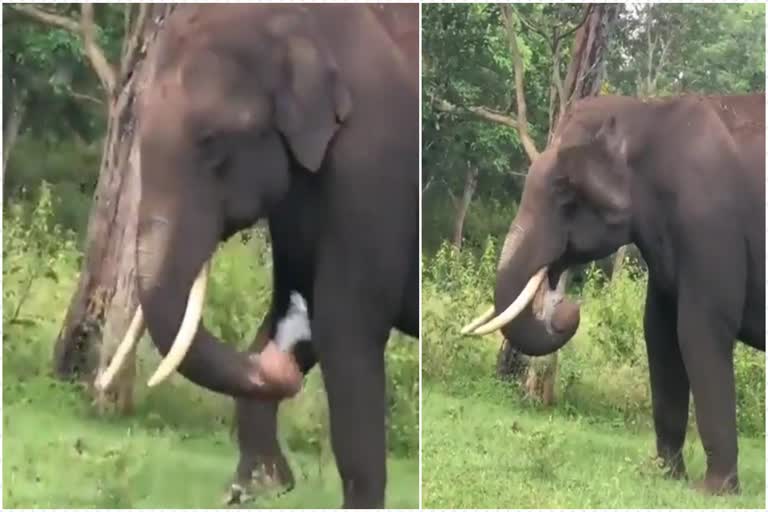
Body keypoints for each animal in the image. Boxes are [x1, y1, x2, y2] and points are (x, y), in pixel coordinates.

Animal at [104, 4, 416, 508]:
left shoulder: (374, 170)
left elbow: (345, 326)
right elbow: (297, 303)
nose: (282, 368)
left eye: (212, 141)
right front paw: (259, 486)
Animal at [464, 94, 764, 494]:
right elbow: (659, 334)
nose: (568, 310)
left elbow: (700, 331)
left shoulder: (710, 223)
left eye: (565, 188)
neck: (645, 112)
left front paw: (712, 491)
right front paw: (662, 475)